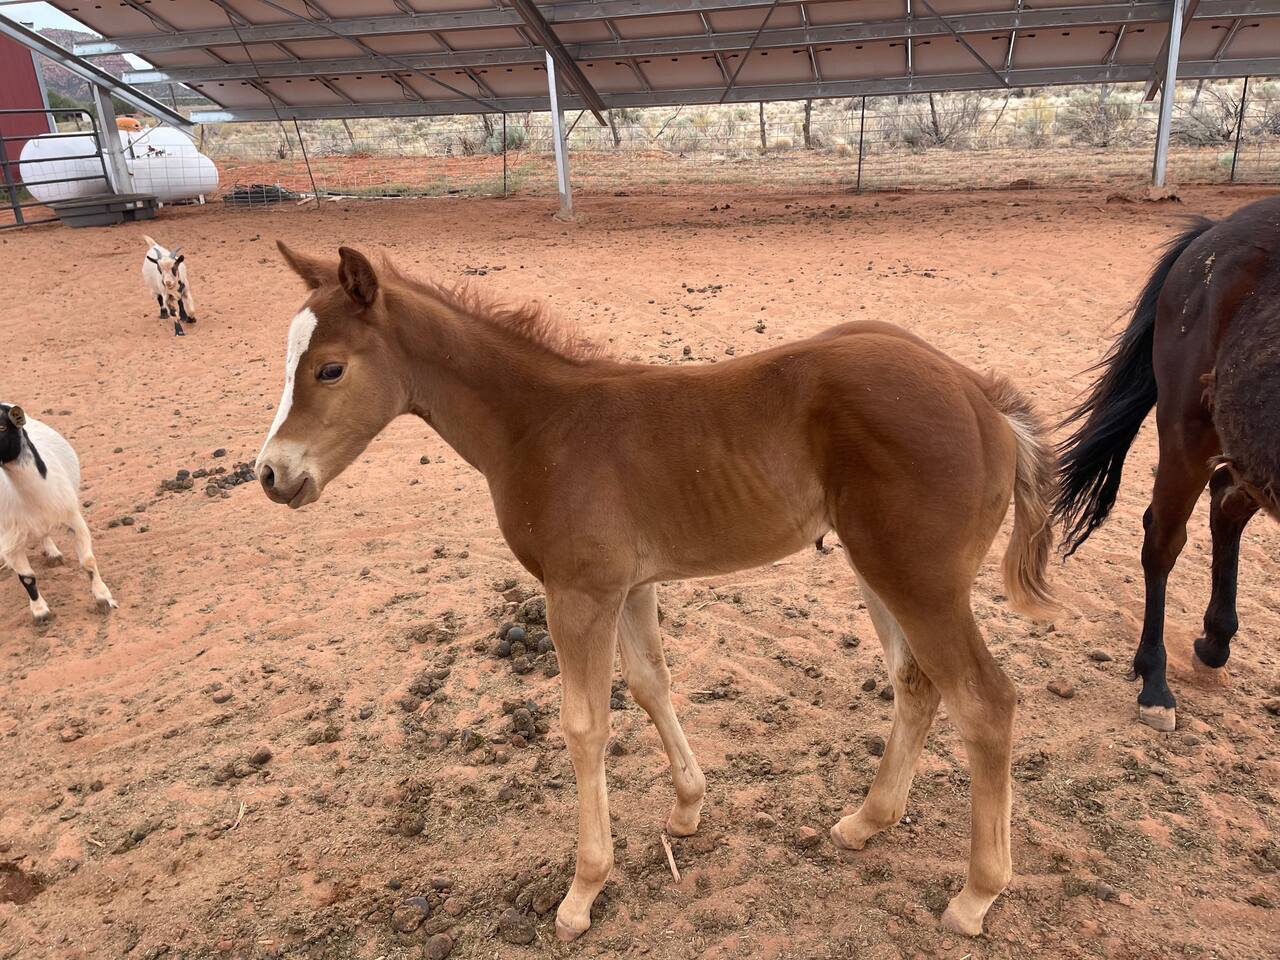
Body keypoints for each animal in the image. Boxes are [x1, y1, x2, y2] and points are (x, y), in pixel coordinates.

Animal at [0, 404, 116, 624]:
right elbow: (27, 577)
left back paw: (53, 553)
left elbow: (88, 560)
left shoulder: (73, 517)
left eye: (1, 427)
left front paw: (103, 597)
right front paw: (40, 611)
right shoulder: (10, 538)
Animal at [256, 242, 1057, 940]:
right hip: (877, 568)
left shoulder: (579, 593)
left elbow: (584, 725)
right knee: (916, 681)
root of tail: (981, 398)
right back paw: (866, 822)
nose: (270, 474)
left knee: (985, 701)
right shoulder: (629, 585)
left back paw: (976, 895)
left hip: (920, 579)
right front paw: (687, 810)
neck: (540, 427)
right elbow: (649, 684)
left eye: (330, 369)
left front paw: (582, 891)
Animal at [1053, 196, 1280, 733]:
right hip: (1187, 432)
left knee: (1224, 501)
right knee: (1164, 539)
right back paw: (1156, 682)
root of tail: (1215, 229)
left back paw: (1214, 643)